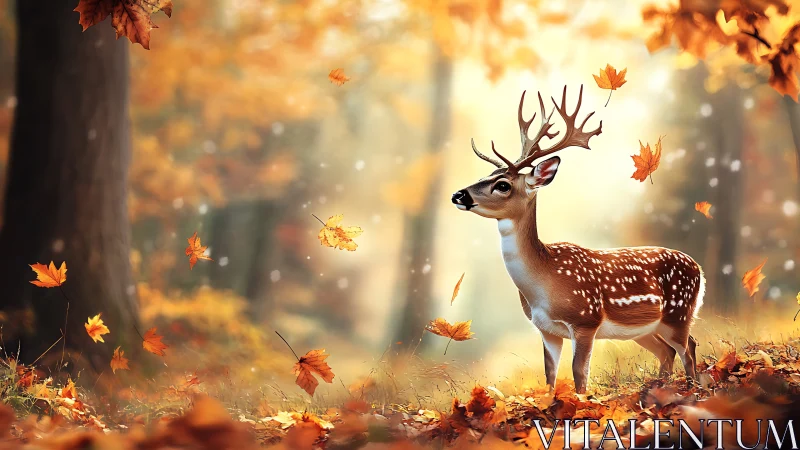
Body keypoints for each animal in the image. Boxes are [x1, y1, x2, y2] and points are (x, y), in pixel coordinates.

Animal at [451, 85, 704, 394]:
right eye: (486, 175)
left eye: (502, 185)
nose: (458, 195)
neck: (543, 284)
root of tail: (699, 268)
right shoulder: (546, 329)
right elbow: (550, 375)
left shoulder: (585, 319)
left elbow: (579, 374)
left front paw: (581, 403)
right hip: (645, 328)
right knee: (668, 350)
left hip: (678, 312)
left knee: (688, 347)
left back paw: (693, 391)